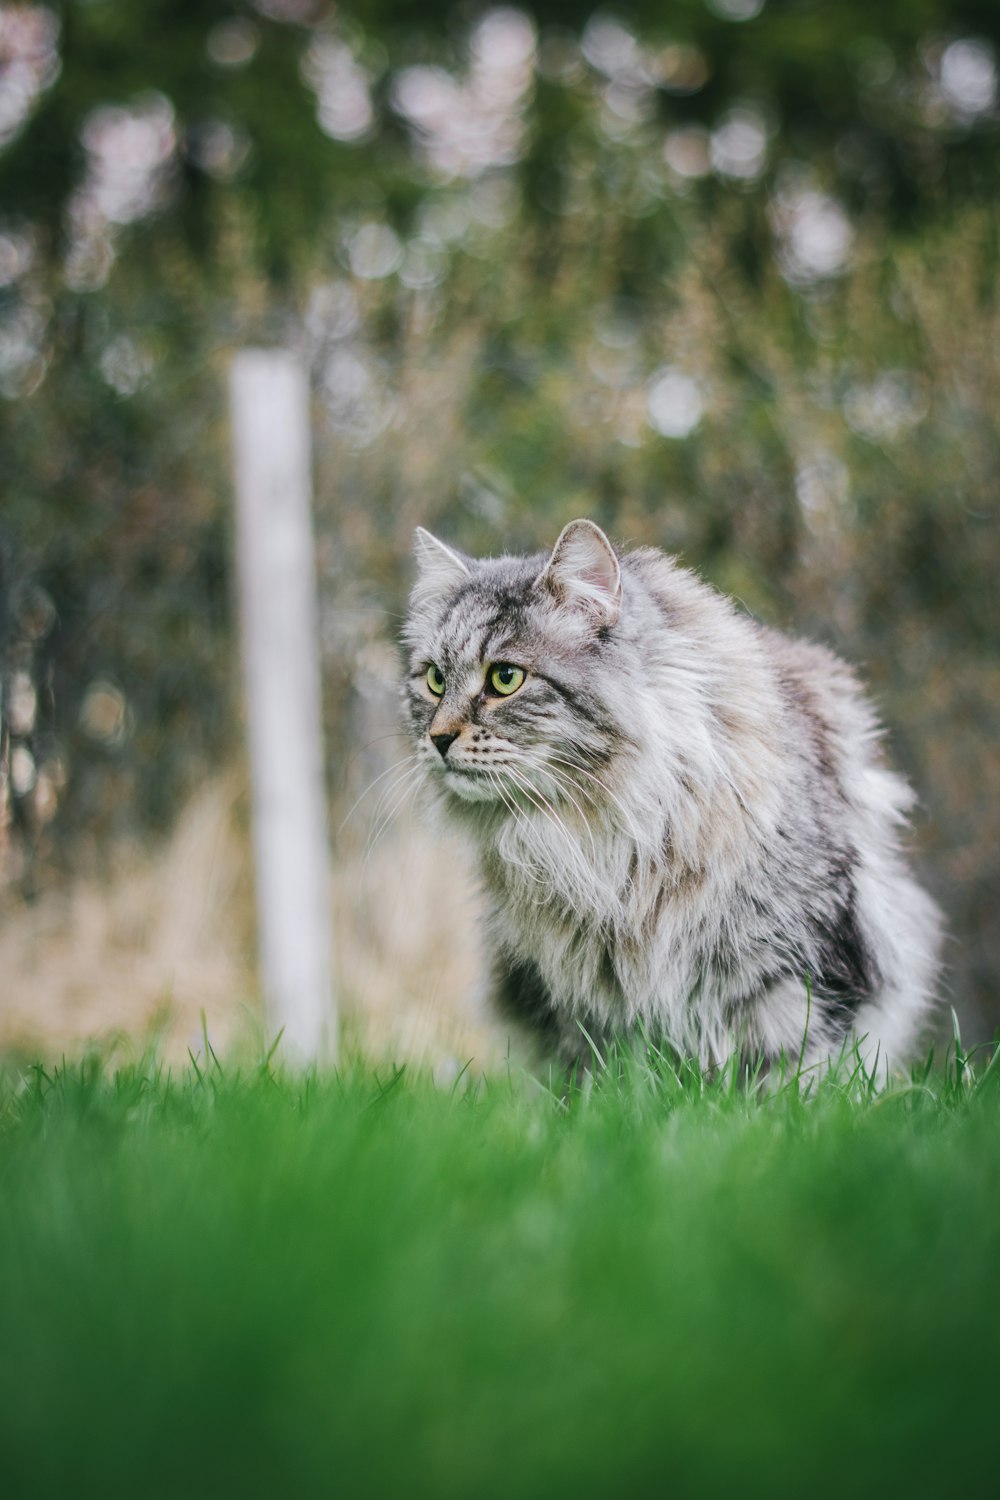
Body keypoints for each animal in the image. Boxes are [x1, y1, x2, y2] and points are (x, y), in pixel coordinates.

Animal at [401, 519, 947, 1080]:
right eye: (434, 679)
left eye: (505, 678)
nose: (438, 739)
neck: (605, 839)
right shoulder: (577, 998)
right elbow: (605, 1080)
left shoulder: (801, 966)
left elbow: (788, 1077)